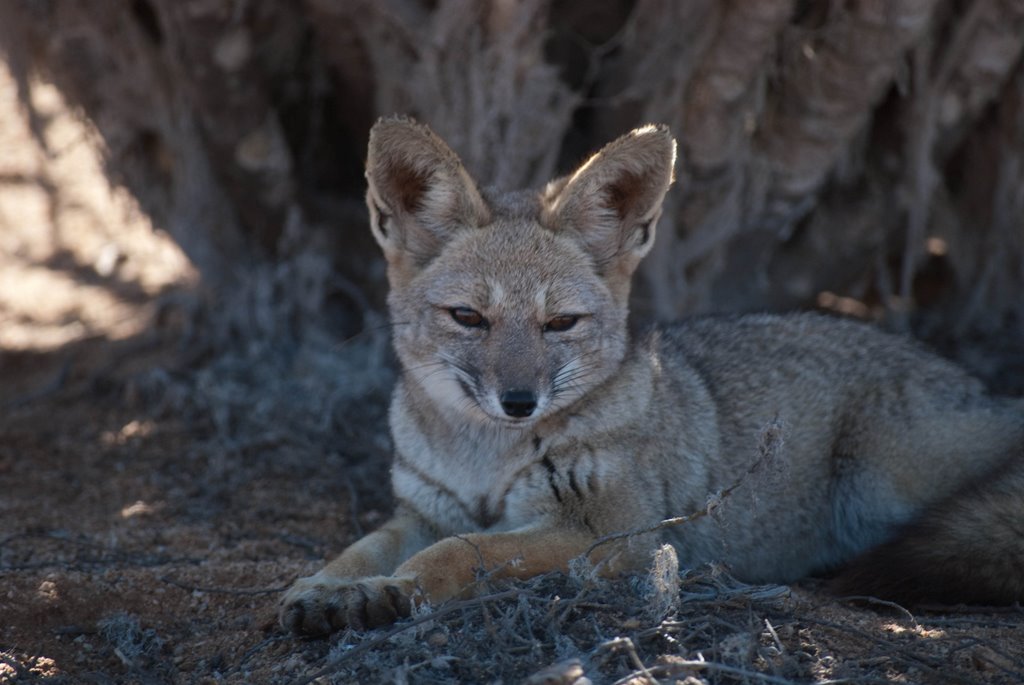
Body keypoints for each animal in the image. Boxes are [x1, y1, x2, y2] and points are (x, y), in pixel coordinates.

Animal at [278, 114, 1024, 634]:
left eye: (560, 323)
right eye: (469, 317)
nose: (519, 402)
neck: (483, 462)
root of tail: (984, 388)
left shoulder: (613, 535)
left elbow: (460, 551)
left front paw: (402, 588)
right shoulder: (421, 511)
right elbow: (361, 548)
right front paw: (325, 587)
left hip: (886, 479)